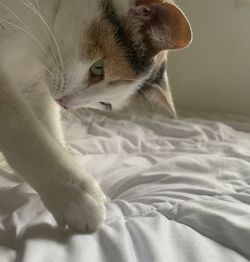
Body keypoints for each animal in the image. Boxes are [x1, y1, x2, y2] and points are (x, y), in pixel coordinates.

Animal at [0, 0, 191, 232]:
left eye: (105, 103)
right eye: (98, 68)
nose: (64, 103)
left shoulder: (35, 87)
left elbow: (49, 132)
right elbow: (25, 134)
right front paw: (76, 195)